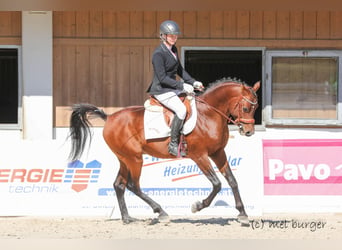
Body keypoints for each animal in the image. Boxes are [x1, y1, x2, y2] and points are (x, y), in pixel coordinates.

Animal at [69, 79, 260, 226]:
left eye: (256, 107)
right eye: (245, 108)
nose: (249, 132)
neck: (209, 114)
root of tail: (109, 118)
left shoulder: (218, 153)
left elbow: (232, 181)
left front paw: (243, 214)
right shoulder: (199, 156)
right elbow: (217, 184)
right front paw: (198, 206)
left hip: (124, 158)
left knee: (119, 185)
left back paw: (127, 218)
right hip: (135, 159)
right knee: (133, 185)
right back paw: (160, 212)